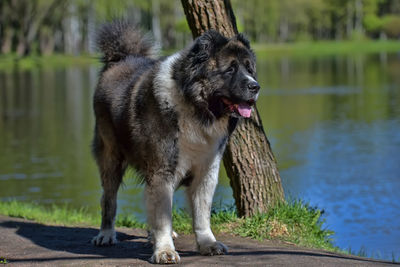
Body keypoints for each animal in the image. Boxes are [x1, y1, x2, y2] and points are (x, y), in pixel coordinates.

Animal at [90, 19, 260, 264]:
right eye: (230, 69)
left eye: (250, 69)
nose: (255, 86)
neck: (196, 107)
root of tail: (120, 59)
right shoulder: (162, 170)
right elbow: (162, 216)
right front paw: (164, 251)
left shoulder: (206, 171)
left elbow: (201, 214)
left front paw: (207, 244)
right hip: (111, 157)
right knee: (109, 199)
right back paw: (105, 234)